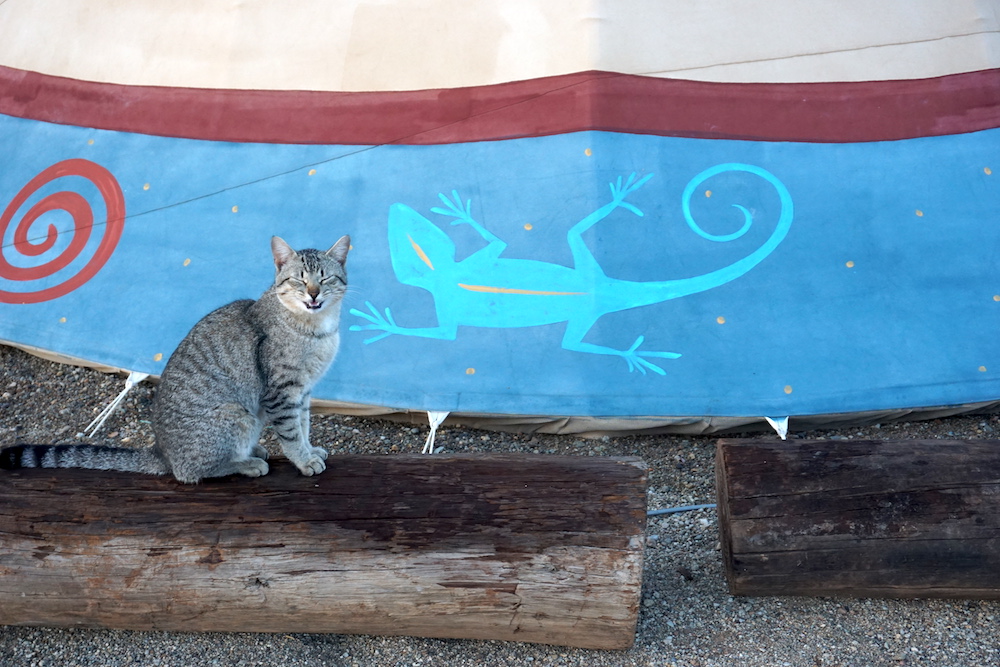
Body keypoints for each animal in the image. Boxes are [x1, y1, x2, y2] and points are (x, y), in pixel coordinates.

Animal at [0, 237, 352, 482]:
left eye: (325, 279)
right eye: (298, 279)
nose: (313, 294)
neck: (317, 330)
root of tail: (162, 452)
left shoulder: (303, 391)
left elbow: (303, 425)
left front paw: (309, 449)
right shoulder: (283, 391)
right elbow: (291, 432)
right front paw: (303, 460)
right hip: (237, 416)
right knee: (190, 472)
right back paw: (246, 463)